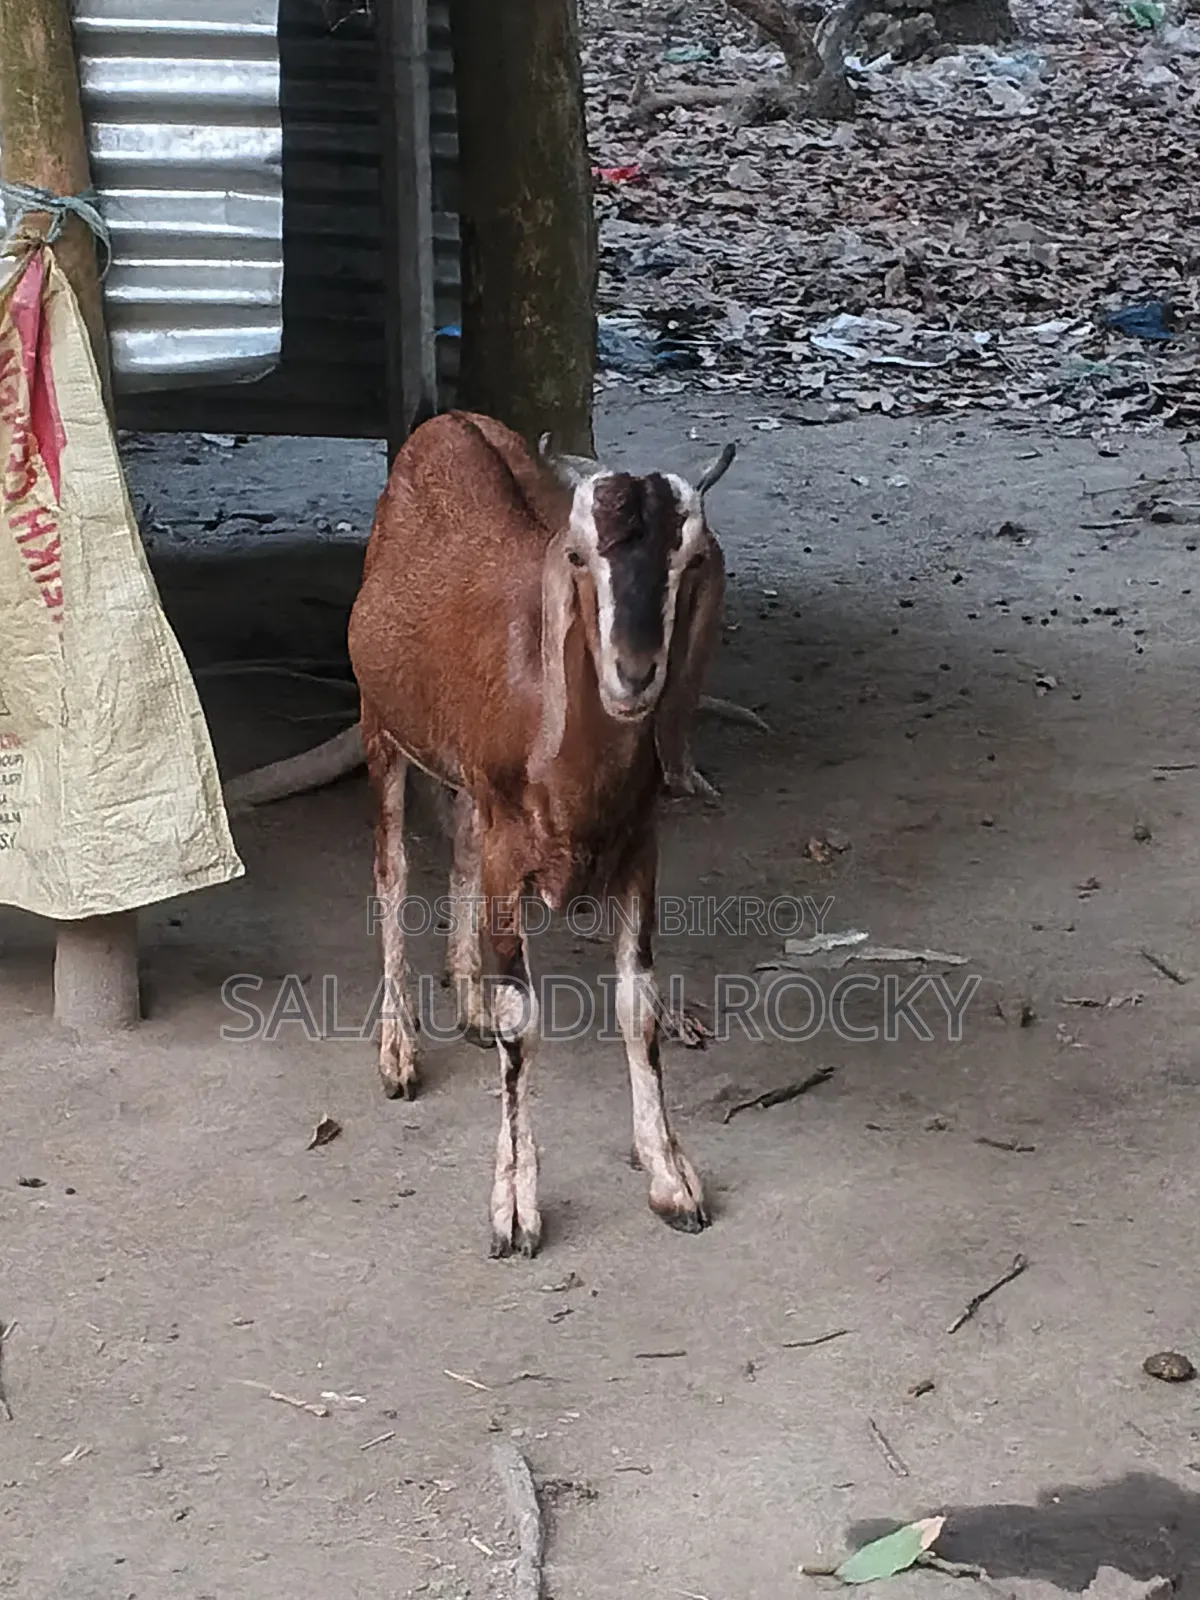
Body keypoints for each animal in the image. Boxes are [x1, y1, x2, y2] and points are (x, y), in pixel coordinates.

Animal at [347, 409, 733, 1257]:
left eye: (688, 558)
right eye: (581, 555)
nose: (634, 672)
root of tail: (447, 420)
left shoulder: (639, 848)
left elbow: (638, 1009)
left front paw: (671, 1176)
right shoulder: (507, 854)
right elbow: (523, 1028)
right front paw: (515, 1207)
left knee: (455, 839)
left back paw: (467, 999)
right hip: (379, 724)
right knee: (390, 871)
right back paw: (398, 1050)